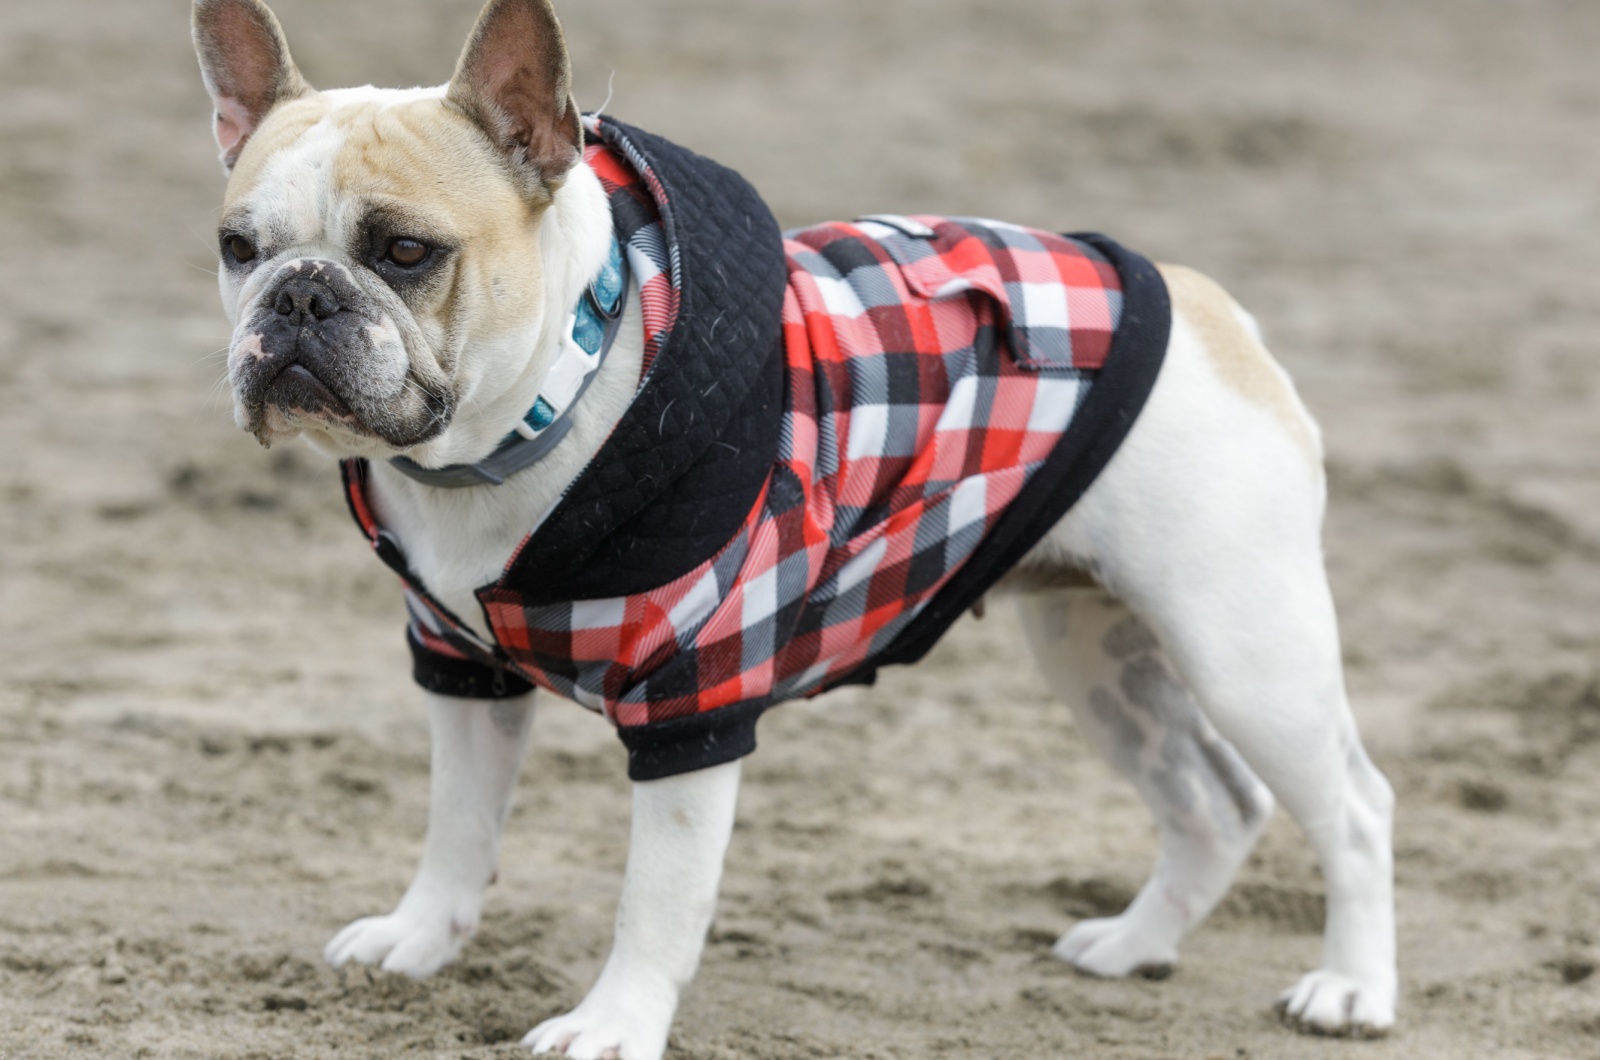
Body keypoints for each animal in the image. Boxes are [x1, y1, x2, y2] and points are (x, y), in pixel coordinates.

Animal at [190, 2, 1401, 1056]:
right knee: (1210, 804)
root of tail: (1202, 302)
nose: (299, 296)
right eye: (238, 248)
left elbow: (656, 899)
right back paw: (1136, 944)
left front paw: (614, 1023)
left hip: (1243, 648)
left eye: (405, 252)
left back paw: (1350, 987)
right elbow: (458, 827)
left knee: (1352, 808)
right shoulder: (462, 673)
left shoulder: (694, 701)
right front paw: (418, 940)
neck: (536, 417)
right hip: (1095, 650)